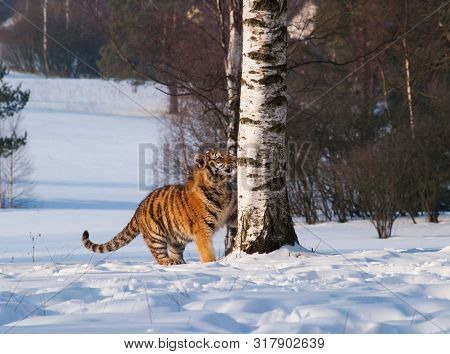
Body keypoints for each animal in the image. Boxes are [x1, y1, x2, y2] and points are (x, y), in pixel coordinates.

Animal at [81, 150, 237, 266]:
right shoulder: (202, 229)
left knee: (175, 252)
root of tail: (139, 207)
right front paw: (211, 264)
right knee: (160, 257)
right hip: (156, 237)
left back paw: (180, 263)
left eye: (228, 154)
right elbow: (207, 251)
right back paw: (170, 262)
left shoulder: (231, 213)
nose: (234, 158)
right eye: (219, 157)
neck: (221, 188)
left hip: (176, 240)